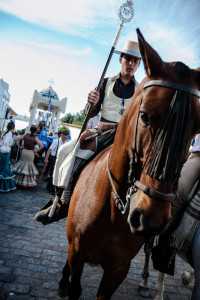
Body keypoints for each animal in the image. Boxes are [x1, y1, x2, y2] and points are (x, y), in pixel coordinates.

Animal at [57, 28, 200, 300]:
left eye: (195, 131)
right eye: (144, 116)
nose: (151, 218)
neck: (112, 209)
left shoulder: (118, 269)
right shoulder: (77, 253)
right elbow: (74, 286)